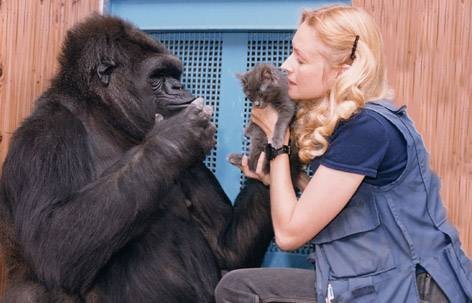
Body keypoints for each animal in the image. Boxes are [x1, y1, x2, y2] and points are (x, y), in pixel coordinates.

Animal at [0, 14, 272, 303]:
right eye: (158, 76)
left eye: (173, 75)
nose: (179, 86)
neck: (105, 116)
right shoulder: (46, 135)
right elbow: (52, 240)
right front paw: (175, 138)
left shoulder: (193, 165)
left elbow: (226, 248)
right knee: (34, 288)